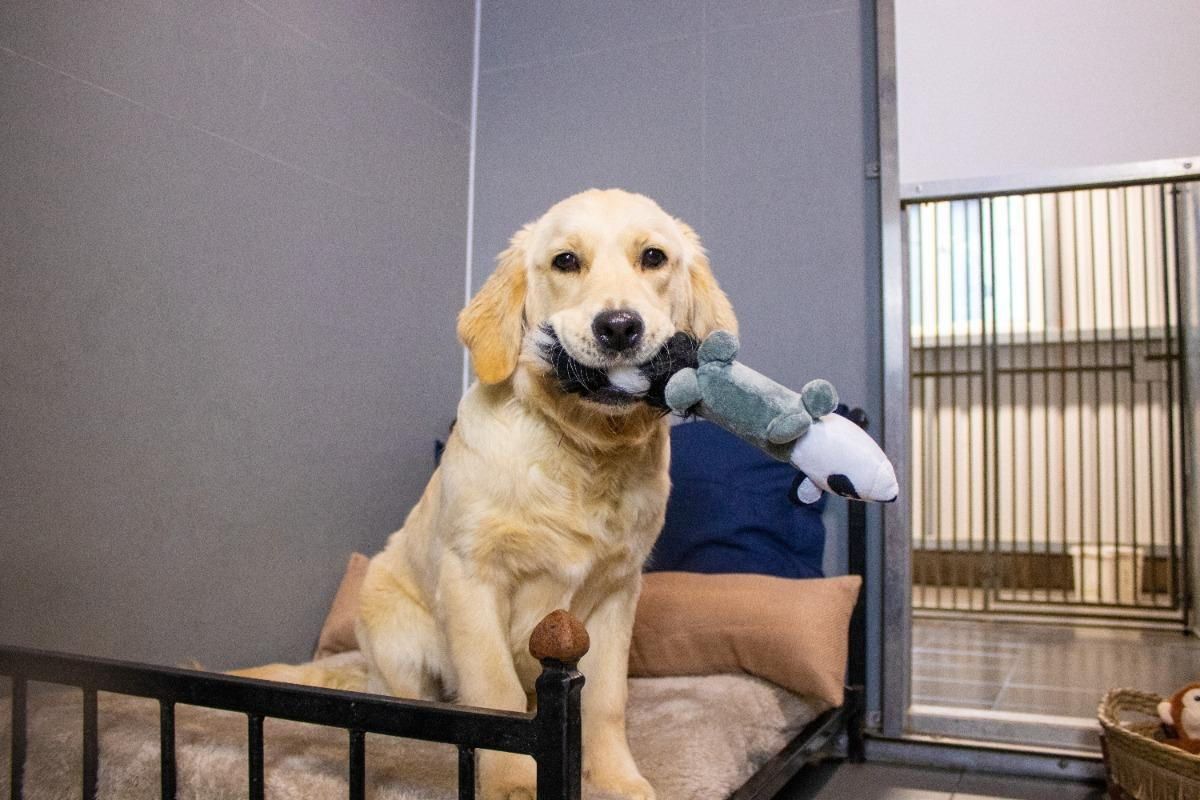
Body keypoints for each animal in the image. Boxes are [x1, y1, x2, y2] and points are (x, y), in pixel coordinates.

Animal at [360, 189, 729, 800]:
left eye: (653, 257)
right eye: (565, 261)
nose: (619, 327)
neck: (582, 452)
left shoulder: (616, 592)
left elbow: (606, 701)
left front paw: (616, 778)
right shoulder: (472, 577)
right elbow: (495, 692)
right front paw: (512, 784)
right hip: (392, 632)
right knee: (406, 715)